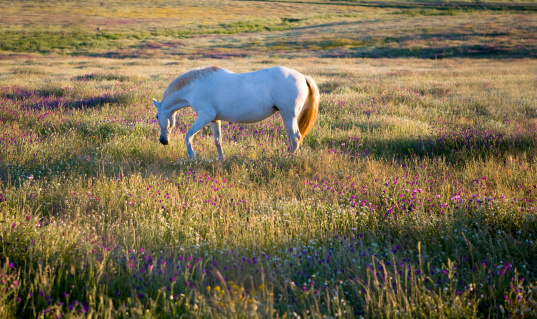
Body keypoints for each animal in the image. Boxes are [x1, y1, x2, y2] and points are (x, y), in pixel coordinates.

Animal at [151, 65, 318, 160]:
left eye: (157, 116)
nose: (163, 140)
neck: (195, 86)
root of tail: (303, 77)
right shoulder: (214, 119)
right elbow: (217, 140)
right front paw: (221, 159)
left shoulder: (205, 116)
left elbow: (188, 135)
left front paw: (191, 155)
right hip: (285, 116)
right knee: (291, 138)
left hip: (290, 115)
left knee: (295, 137)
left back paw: (290, 160)